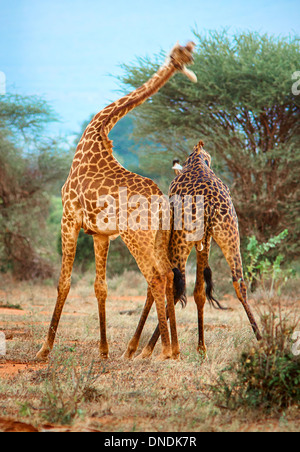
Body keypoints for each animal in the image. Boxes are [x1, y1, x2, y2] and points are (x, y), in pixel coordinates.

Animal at [35, 40, 197, 362]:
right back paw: (172, 349)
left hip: (136, 237)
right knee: (168, 276)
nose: (188, 69)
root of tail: (163, 204)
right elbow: (101, 287)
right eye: (183, 55)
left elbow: (63, 282)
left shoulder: (68, 217)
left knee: (156, 277)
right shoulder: (100, 233)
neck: (97, 130)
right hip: (158, 237)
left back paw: (161, 351)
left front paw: (44, 350)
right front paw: (103, 350)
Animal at [123, 139, 262, 358]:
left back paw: (153, 350)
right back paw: (262, 341)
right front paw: (201, 348)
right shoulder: (205, 242)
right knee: (238, 283)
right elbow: (199, 293)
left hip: (181, 240)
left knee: (174, 286)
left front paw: (132, 349)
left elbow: (156, 287)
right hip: (229, 233)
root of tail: (210, 203)